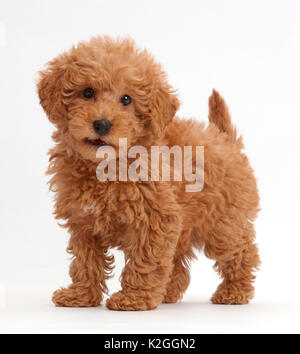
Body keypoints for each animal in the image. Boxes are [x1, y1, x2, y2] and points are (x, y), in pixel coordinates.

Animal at [37, 36, 258, 310]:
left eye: (126, 99)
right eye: (87, 92)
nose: (102, 124)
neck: (105, 168)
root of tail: (225, 139)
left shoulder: (156, 219)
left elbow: (146, 260)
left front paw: (134, 298)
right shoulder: (83, 223)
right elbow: (85, 261)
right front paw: (80, 295)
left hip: (223, 224)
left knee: (242, 252)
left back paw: (234, 292)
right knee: (178, 265)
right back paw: (166, 294)